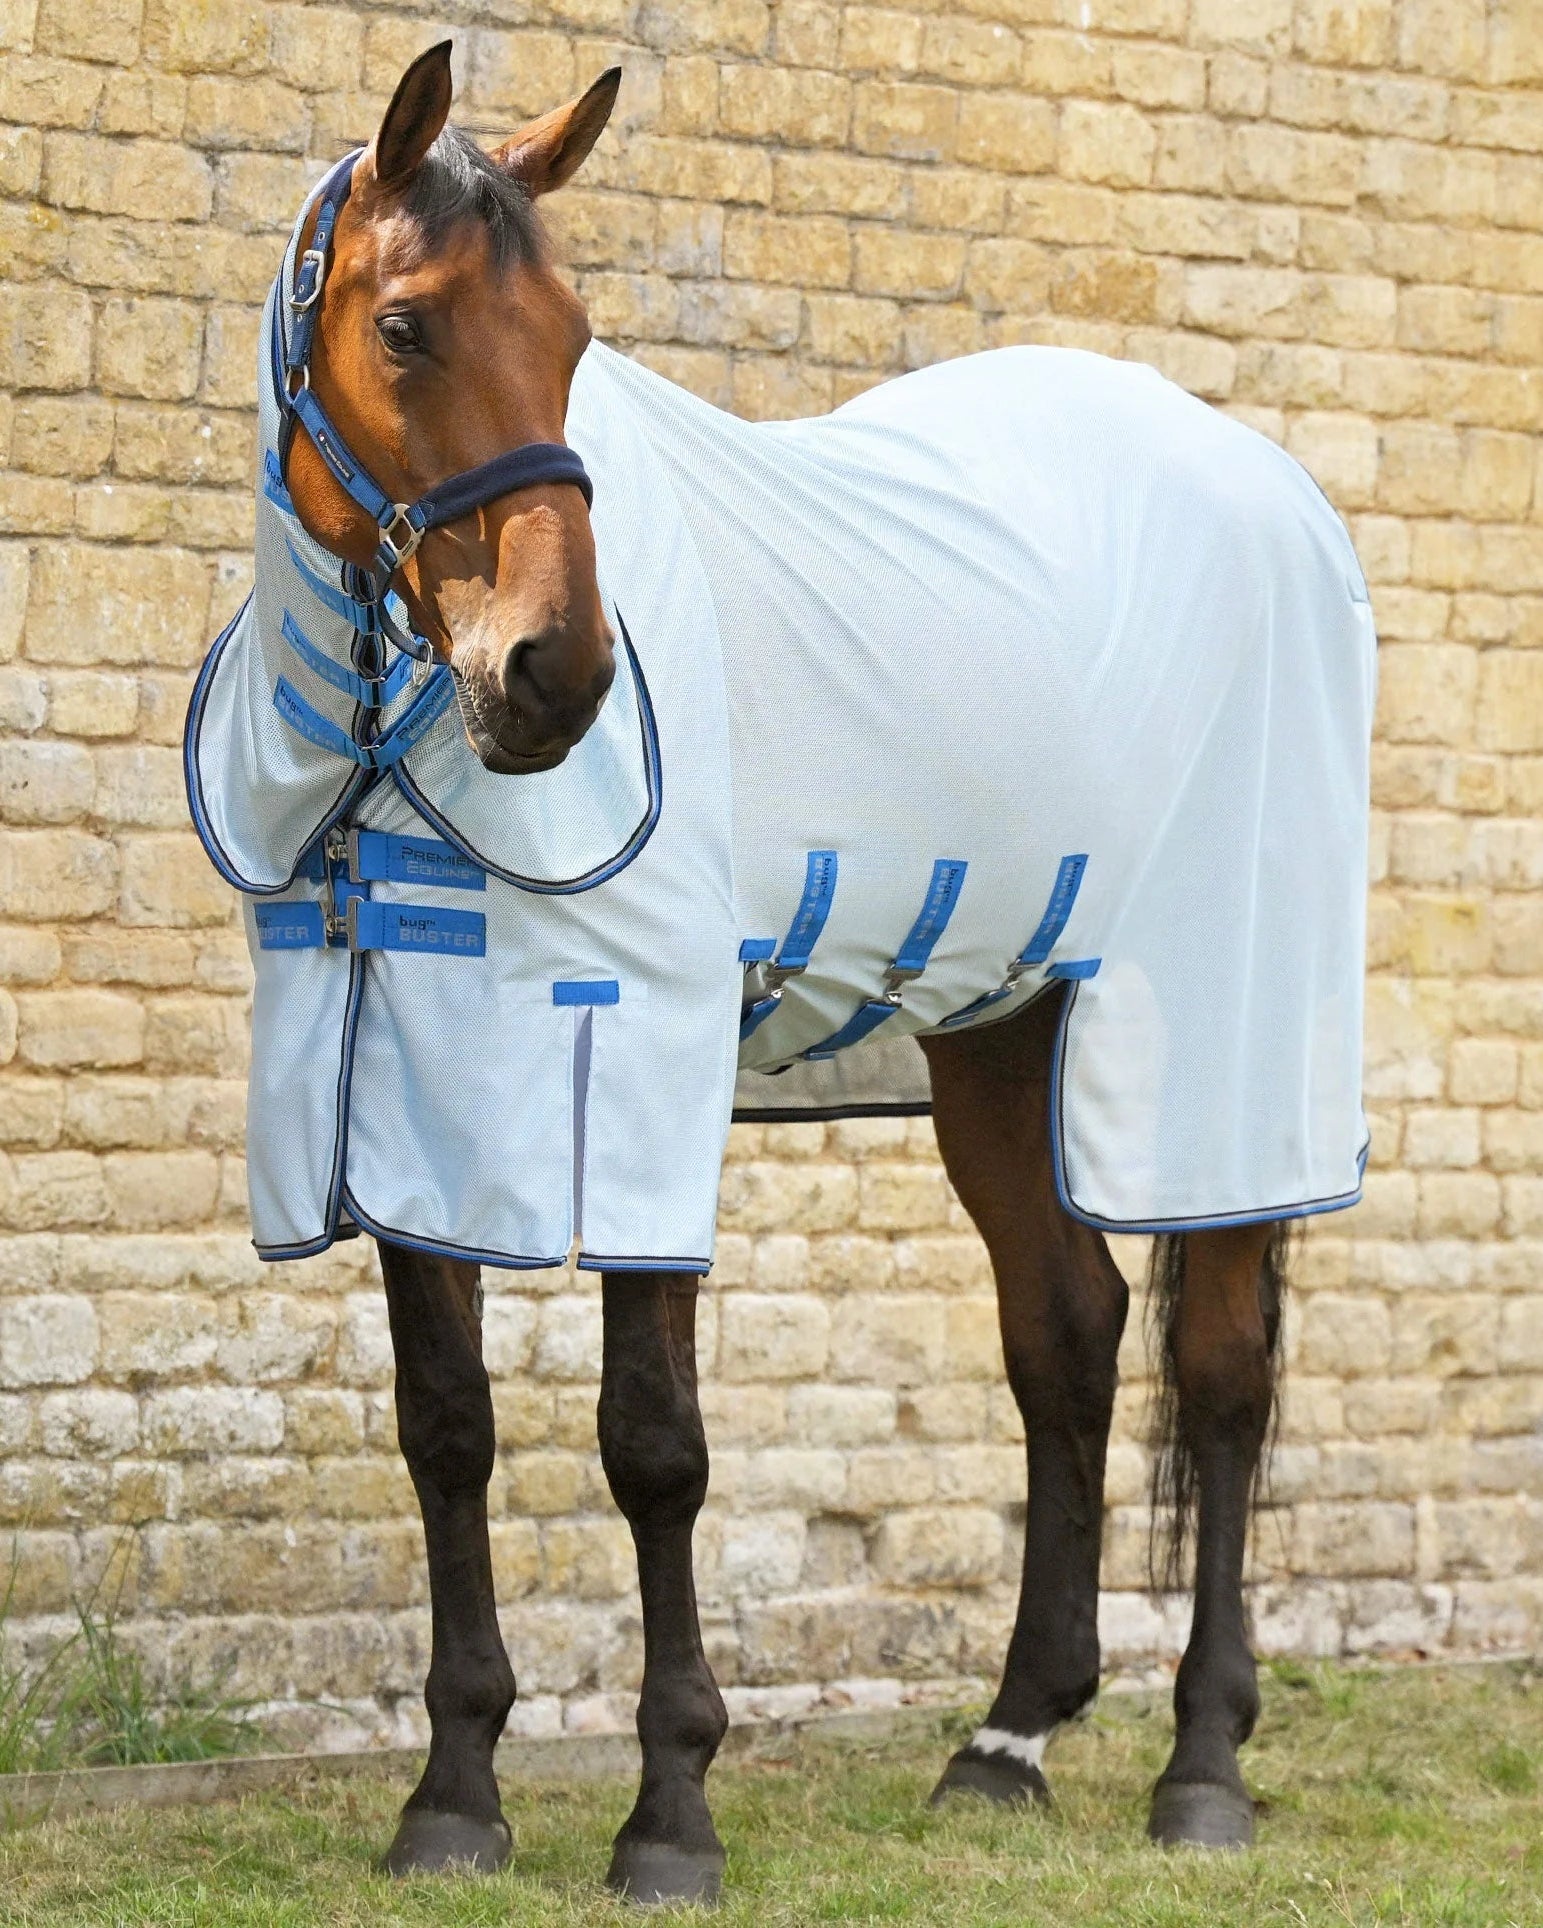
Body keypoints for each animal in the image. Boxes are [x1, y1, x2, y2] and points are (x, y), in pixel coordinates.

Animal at [184, 41, 1376, 1903]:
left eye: (576, 336)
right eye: (405, 325)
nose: (556, 675)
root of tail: (1269, 493)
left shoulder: (636, 1067)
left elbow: (652, 1445)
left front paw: (668, 1811)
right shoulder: (400, 1096)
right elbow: (445, 1426)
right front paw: (451, 1799)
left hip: (1219, 1037)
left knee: (1219, 1373)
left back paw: (1200, 1766)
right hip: (997, 1031)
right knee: (1066, 1333)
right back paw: (1006, 1740)